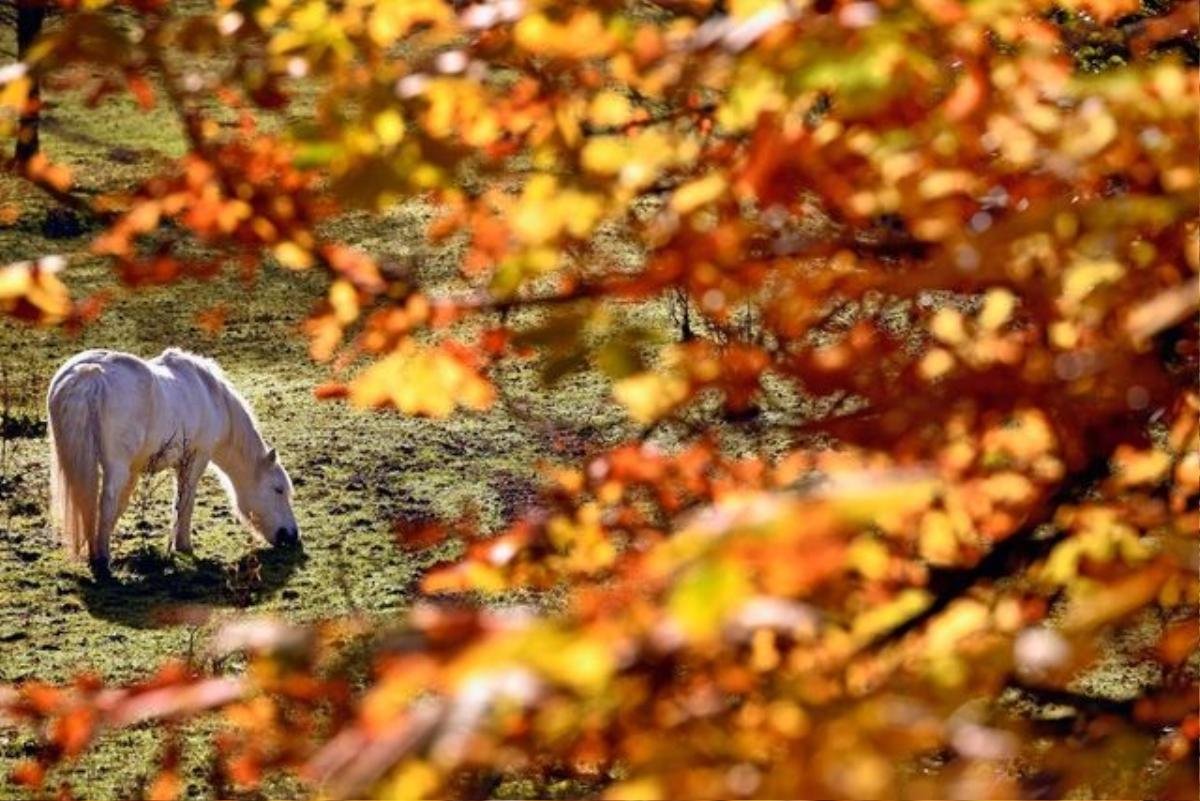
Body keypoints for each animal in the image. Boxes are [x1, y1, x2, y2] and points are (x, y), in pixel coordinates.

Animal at [46, 345, 300, 575]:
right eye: (278, 490)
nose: (292, 536)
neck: (211, 395)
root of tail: (89, 374)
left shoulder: (137, 470)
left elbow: (125, 504)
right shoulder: (195, 459)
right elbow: (184, 500)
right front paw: (183, 546)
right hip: (115, 468)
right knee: (105, 502)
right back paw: (102, 561)